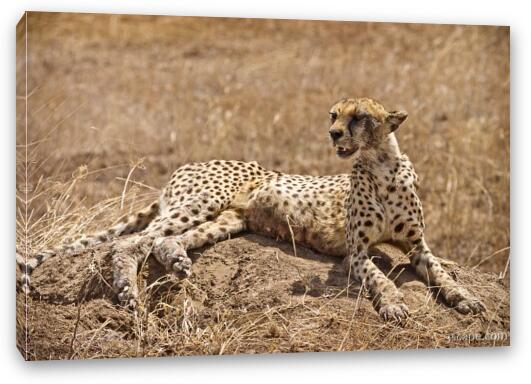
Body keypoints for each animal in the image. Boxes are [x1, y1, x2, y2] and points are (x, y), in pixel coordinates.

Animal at [18, 97, 486, 320]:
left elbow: (442, 273)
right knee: (132, 242)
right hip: (202, 200)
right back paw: (127, 291)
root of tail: (189, 163)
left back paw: (177, 262)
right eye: (334, 114)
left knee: (167, 241)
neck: (382, 164)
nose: (333, 133)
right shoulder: (356, 253)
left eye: (359, 117)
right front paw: (392, 304)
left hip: (229, 220)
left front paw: (465, 298)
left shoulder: (418, 247)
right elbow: (380, 276)